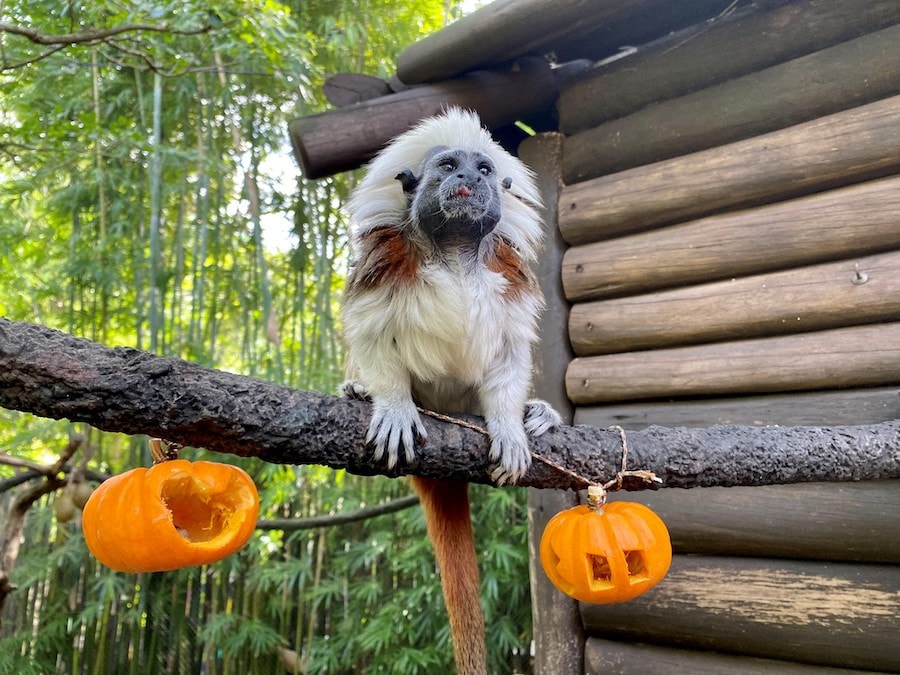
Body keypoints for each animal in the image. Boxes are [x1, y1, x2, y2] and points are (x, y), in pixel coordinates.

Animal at [340, 108, 560, 674]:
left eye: (483, 168)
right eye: (447, 165)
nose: (467, 178)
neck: (456, 250)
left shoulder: (508, 274)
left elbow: (508, 354)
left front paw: (509, 426)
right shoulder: (384, 262)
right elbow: (373, 336)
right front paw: (392, 404)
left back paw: (538, 415)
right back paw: (358, 391)